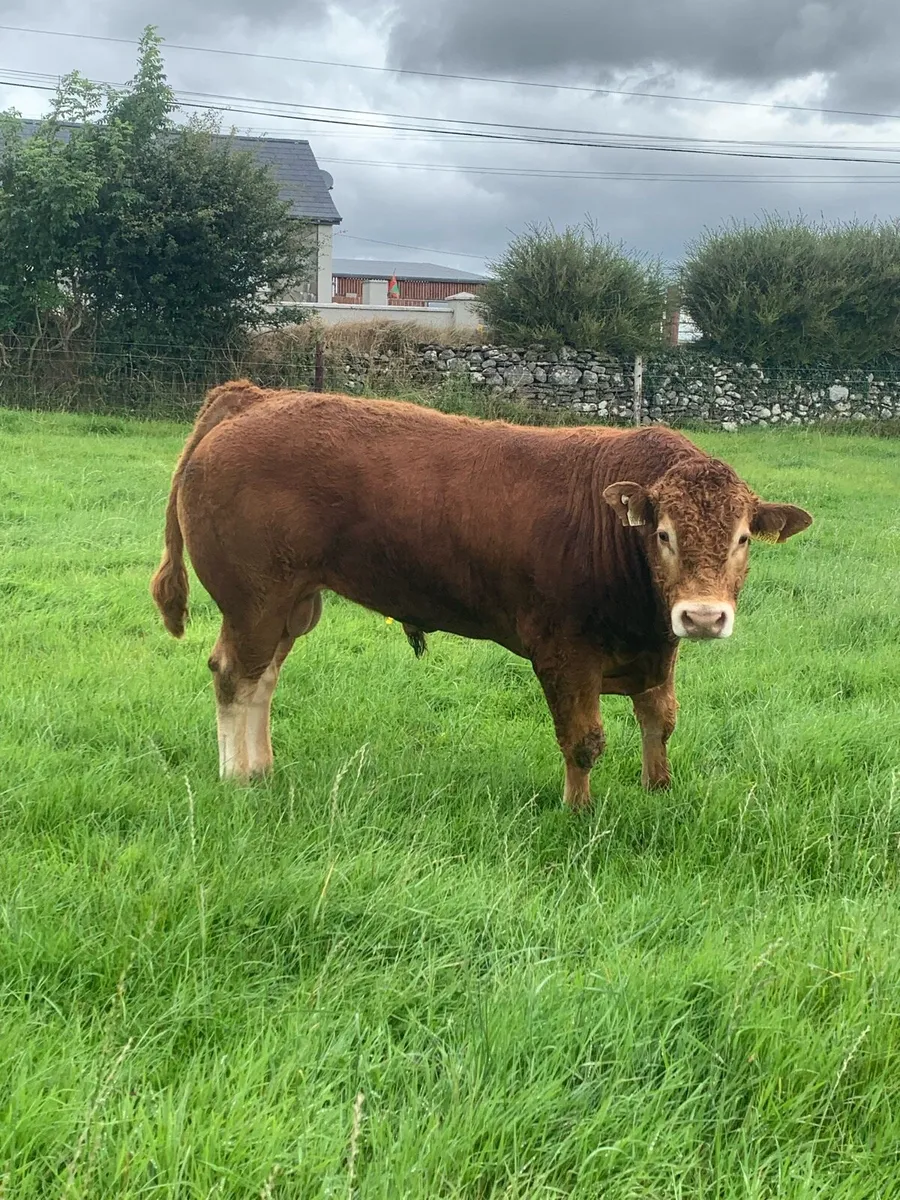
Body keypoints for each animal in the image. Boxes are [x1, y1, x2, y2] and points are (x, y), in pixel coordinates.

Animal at [151, 380, 812, 809]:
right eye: (665, 533)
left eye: (743, 538)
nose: (702, 617)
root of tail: (256, 396)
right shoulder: (563, 653)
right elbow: (583, 740)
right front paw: (579, 812)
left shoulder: (654, 649)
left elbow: (660, 722)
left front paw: (659, 793)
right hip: (254, 600)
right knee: (233, 675)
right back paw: (237, 777)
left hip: (293, 603)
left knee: (262, 678)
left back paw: (262, 769)